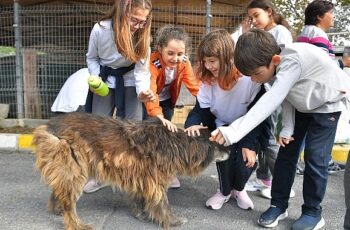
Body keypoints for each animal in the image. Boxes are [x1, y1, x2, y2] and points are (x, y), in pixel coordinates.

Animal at [32, 113, 230, 230]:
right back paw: (76, 223)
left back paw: (56, 209)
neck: (177, 144)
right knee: (69, 202)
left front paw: (140, 213)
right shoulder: (154, 180)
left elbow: (139, 198)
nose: (230, 151)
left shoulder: (141, 177)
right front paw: (172, 221)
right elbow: (162, 203)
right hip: (74, 168)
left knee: (59, 191)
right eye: (218, 144)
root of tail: (48, 126)